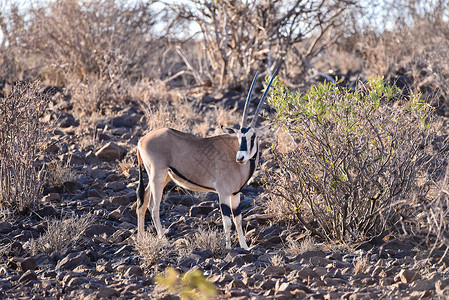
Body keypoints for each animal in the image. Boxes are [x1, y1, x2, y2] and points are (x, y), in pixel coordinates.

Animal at [136, 69, 276, 250]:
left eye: (253, 136)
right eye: (239, 136)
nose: (240, 157)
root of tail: (141, 140)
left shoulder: (236, 194)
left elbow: (238, 220)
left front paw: (245, 247)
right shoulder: (223, 193)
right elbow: (227, 222)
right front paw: (229, 248)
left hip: (164, 176)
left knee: (142, 203)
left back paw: (140, 238)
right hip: (157, 175)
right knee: (153, 206)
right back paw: (164, 240)